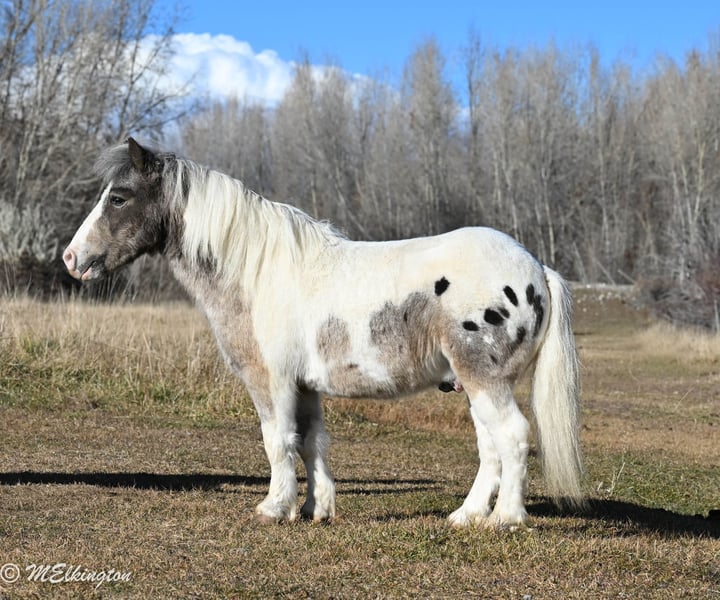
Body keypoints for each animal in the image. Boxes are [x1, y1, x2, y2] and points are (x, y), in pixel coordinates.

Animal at [63, 137, 584, 528]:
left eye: (118, 197)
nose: (72, 258)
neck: (258, 272)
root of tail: (537, 269)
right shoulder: (305, 386)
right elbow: (312, 442)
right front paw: (317, 508)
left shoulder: (271, 382)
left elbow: (278, 440)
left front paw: (275, 508)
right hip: (474, 386)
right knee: (490, 447)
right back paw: (467, 516)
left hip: (485, 381)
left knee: (513, 437)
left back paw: (506, 519)